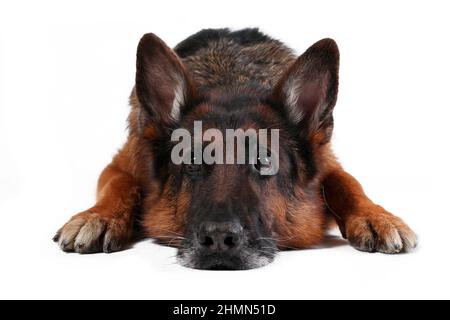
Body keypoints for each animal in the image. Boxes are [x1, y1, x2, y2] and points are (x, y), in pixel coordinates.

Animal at [53, 28, 418, 270]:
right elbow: (120, 183)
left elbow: (346, 183)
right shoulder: (125, 161)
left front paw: (377, 217)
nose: (218, 238)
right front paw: (98, 217)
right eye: (192, 161)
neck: (231, 81)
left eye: (263, 161)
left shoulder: (329, 163)